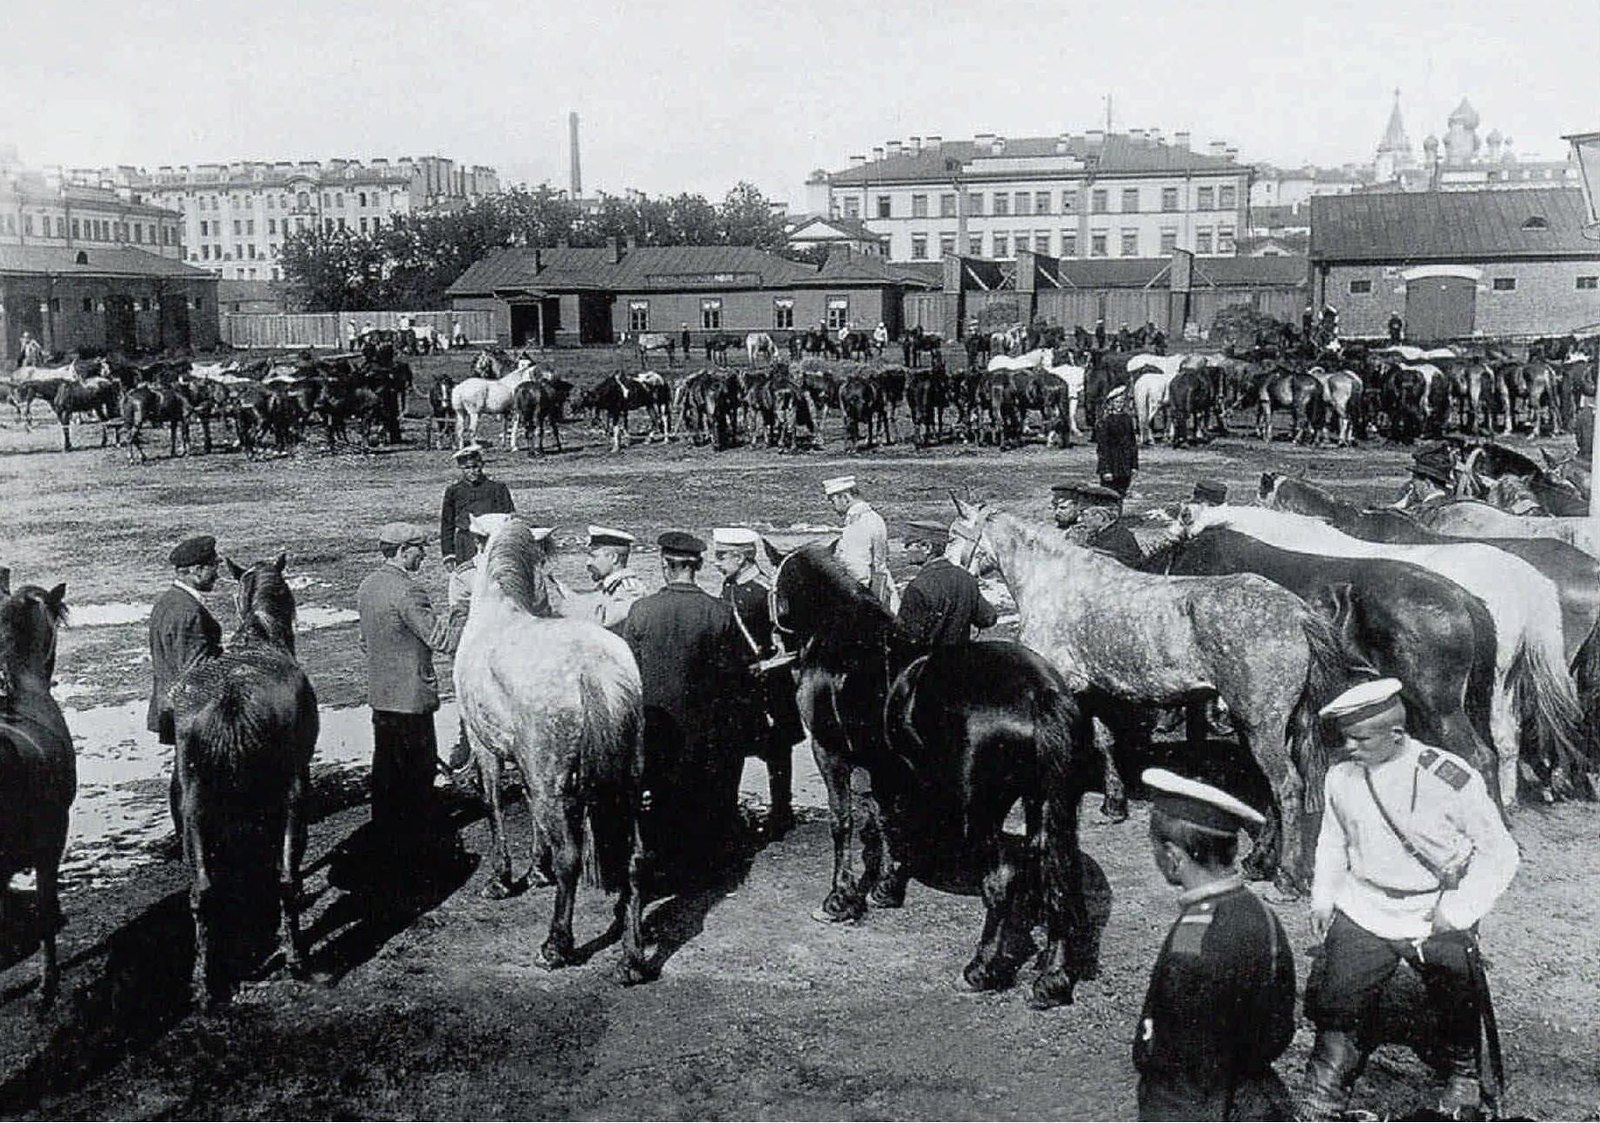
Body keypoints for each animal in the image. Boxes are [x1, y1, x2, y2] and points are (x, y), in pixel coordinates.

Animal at [771, 547, 1100, 1011]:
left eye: (775, 587)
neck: (843, 639)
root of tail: (1041, 692)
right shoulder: (885, 766)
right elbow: (885, 821)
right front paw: (886, 888)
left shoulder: (830, 753)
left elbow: (844, 823)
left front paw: (840, 899)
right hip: (1047, 804)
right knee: (1055, 873)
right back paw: (1051, 978)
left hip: (981, 811)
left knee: (1001, 880)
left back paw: (981, 969)